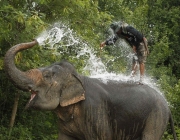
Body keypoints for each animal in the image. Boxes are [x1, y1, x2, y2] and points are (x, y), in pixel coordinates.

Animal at [3, 40, 177, 139]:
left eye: (46, 76)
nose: (35, 40)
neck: (78, 78)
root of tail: (168, 106)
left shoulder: (95, 112)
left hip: (156, 118)